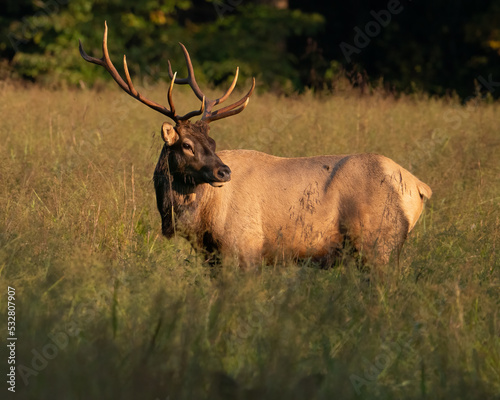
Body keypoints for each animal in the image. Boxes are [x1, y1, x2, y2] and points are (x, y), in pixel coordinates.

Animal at [80, 23, 432, 268]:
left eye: (212, 141)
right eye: (188, 145)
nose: (223, 172)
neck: (199, 221)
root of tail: (419, 187)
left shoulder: (244, 246)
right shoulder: (212, 256)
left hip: (378, 243)